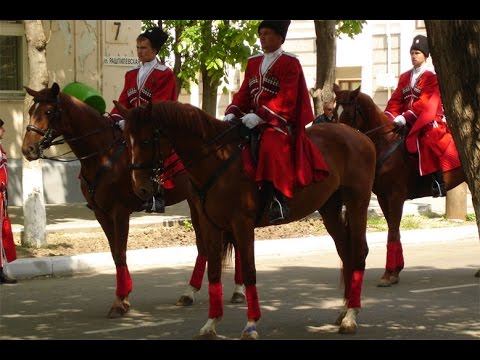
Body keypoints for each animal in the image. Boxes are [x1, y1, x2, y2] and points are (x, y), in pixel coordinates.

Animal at [19, 82, 244, 318]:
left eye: (48, 112)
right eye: (30, 111)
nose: (28, 149)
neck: (103, 155)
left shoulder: (119, 211)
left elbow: (120, 253)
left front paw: (120, 301)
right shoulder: (101, 213)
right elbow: (114, 253)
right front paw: (125, 293)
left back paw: (237, 290)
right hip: (199, 204)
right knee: (204, 246)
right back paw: (189, 292)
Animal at [114, 100, 376, 338]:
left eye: (146, 140)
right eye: (126, 140)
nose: (141, 189)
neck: (217, 161)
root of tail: (360, 137)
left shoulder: (242, 223)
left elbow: (249, 270)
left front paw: (251, 324)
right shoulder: (210, 224)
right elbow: (214, 270)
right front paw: (211, 323)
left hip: (357, 203)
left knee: (359, 251)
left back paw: (351, 316)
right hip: (329, 208)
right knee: (346, 252)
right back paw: (344, 310)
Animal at [334, 86, 464, 286]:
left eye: (348, 113)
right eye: (334, 112)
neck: (385, 143)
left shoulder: (396, 197)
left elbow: (392, 232)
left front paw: (388, 274)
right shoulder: (383, 197)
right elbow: (394, 230)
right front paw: (396, 271)